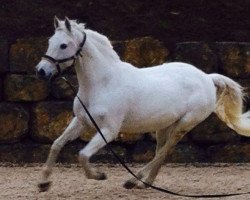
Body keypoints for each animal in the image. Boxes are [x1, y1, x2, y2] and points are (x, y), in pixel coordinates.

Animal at [36, 16, 249, 191]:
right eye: (50, 42)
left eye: (63, 45)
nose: (41, 71)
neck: (102, 83)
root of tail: (207, 77)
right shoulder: (81, 122)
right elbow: (56, 144)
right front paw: (44, 183)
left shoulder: (109, 131)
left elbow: (83, 154)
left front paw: (99, 175)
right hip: (164, 126)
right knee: (161, 151)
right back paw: (144, 183)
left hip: (184, 124)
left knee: (164, 151)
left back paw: (133, 181)